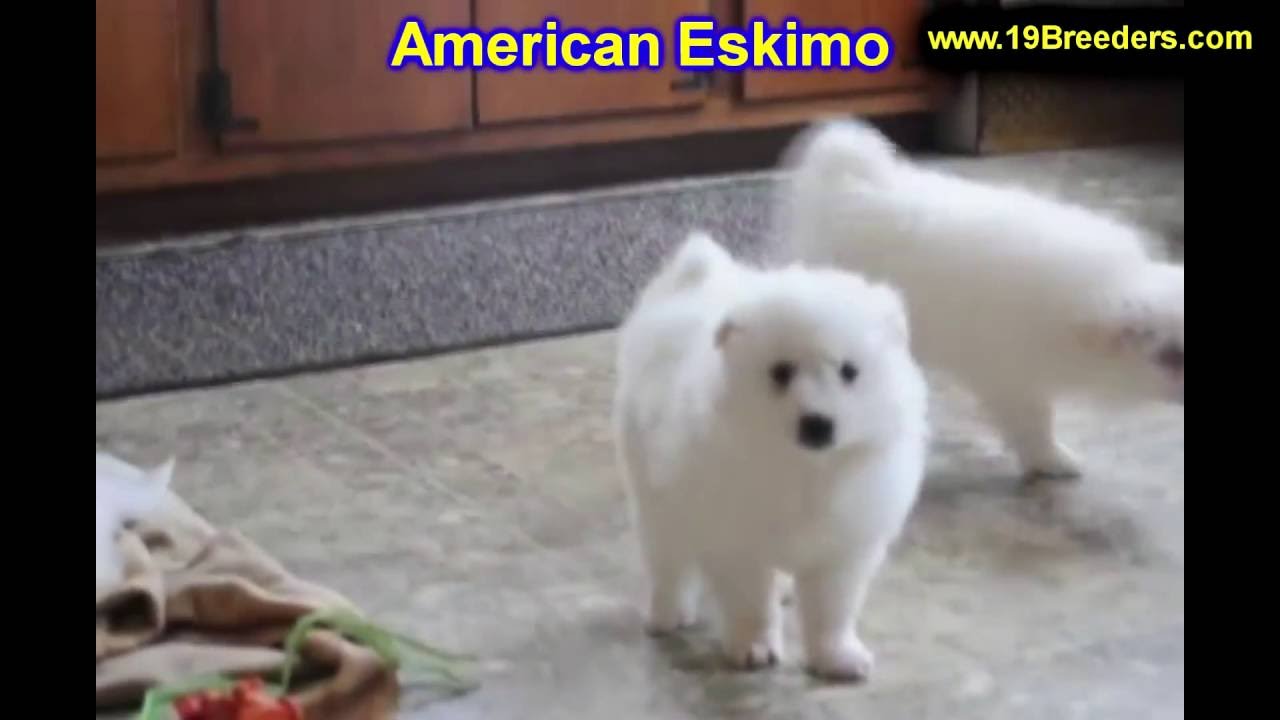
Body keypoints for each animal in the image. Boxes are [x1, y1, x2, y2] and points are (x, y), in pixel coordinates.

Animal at [613, 231, 929, 681]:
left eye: (849, 372)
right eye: (781, 372)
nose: (817, 423)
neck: (804, 468)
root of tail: (696, 273)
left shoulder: (843, 544)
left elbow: (832, 608)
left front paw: (836, 656)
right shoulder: (736, 537)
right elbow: (749, 599)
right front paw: (755, 646)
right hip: (654, 493)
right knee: (667, 558)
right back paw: (666, 615)